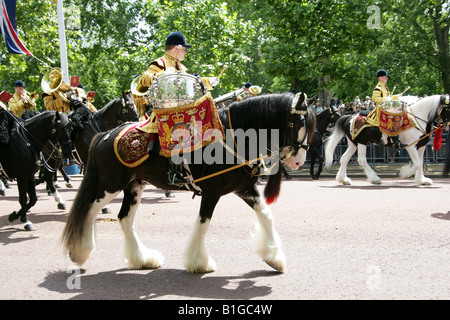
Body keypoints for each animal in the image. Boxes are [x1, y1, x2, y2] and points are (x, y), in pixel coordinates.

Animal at [62, 92, 316, 272]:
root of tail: (105, 135)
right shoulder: (212, 192)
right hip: (109, 186)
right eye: (298, 122)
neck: (233, 137)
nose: (298, 161)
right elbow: (203, 224)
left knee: (125, 219)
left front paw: (274, 257)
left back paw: (142, 259)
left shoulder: (244, 189)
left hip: (134, 185)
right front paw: (199, 262)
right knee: (88, 210)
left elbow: (266, 215)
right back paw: (80, 252)